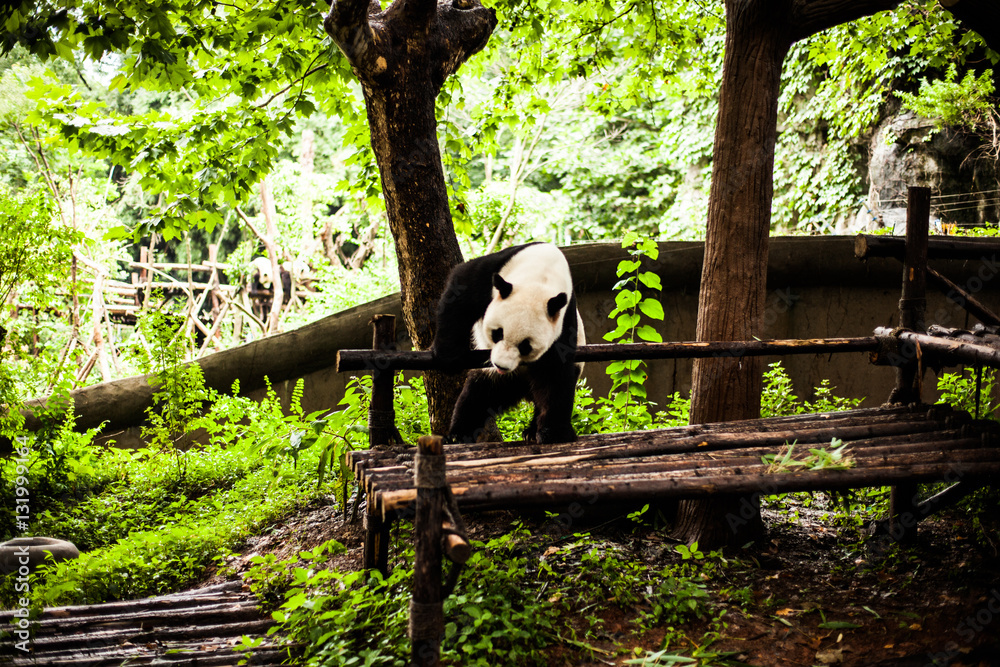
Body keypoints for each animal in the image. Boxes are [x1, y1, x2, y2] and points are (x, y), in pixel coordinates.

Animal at [431, 242, 586, 444]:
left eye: (525, 346)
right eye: (497, 333)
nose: (501, 365)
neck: (540, 276)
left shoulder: (563, 319)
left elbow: (554, 372)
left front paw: (554, 433)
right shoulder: (491, 274)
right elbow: (460, 297)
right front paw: (449, 358)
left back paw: (531, 431)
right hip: (494, 376)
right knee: (479, 395)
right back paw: (459, 434)